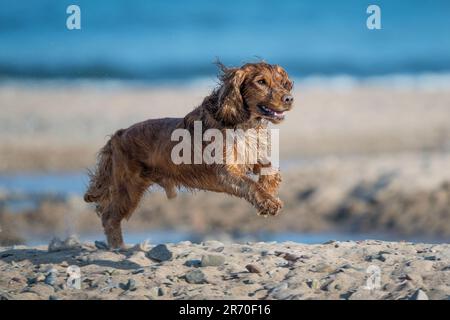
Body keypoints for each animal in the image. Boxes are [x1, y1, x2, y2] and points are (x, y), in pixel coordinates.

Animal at [84, 61, 296, 249]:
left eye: (282, 82)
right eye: (261, 82)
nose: (289, 99)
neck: (244, 123)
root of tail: (118, 135)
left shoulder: (251, 155)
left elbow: (272, 171)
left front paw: (269, 190)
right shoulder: (225, 171)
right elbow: (250, 183)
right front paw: (269, 202)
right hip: (128, 188)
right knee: (109, 217)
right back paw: (118, 247)